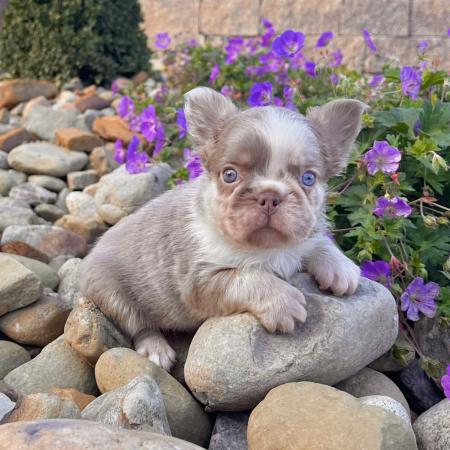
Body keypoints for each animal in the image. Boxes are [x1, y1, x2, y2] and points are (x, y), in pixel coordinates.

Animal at [80, 87, 366, 371]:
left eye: (308, 178)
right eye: (230, 175)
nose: (269, 195)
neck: (268, 249)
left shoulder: (303, 234)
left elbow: (317, 242)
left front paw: (339, 267)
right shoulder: (200, 281)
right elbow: (249, 277)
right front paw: (283, 301)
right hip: (111, 293)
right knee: (138, 325)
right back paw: (155, 349)